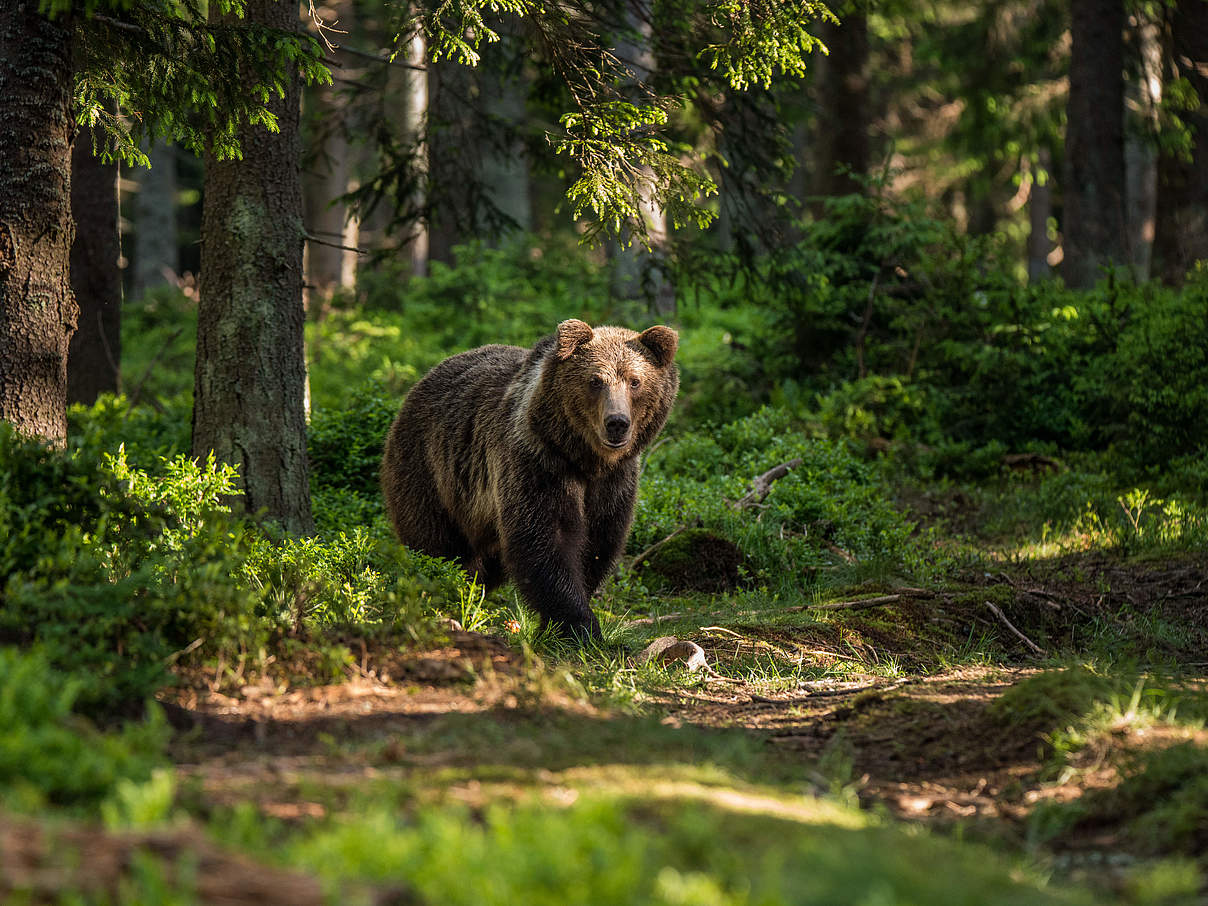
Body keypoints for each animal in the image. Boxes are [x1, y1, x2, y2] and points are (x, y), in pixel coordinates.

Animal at [379, 318, 676, 637]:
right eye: (595, 380)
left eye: (635, 381)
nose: (617, 423)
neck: (585, 460)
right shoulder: (538, 462)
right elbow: (546, 540)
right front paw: (578, 626)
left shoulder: (614, 483)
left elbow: (597, 543)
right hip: (430, 470)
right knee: (436, 542)